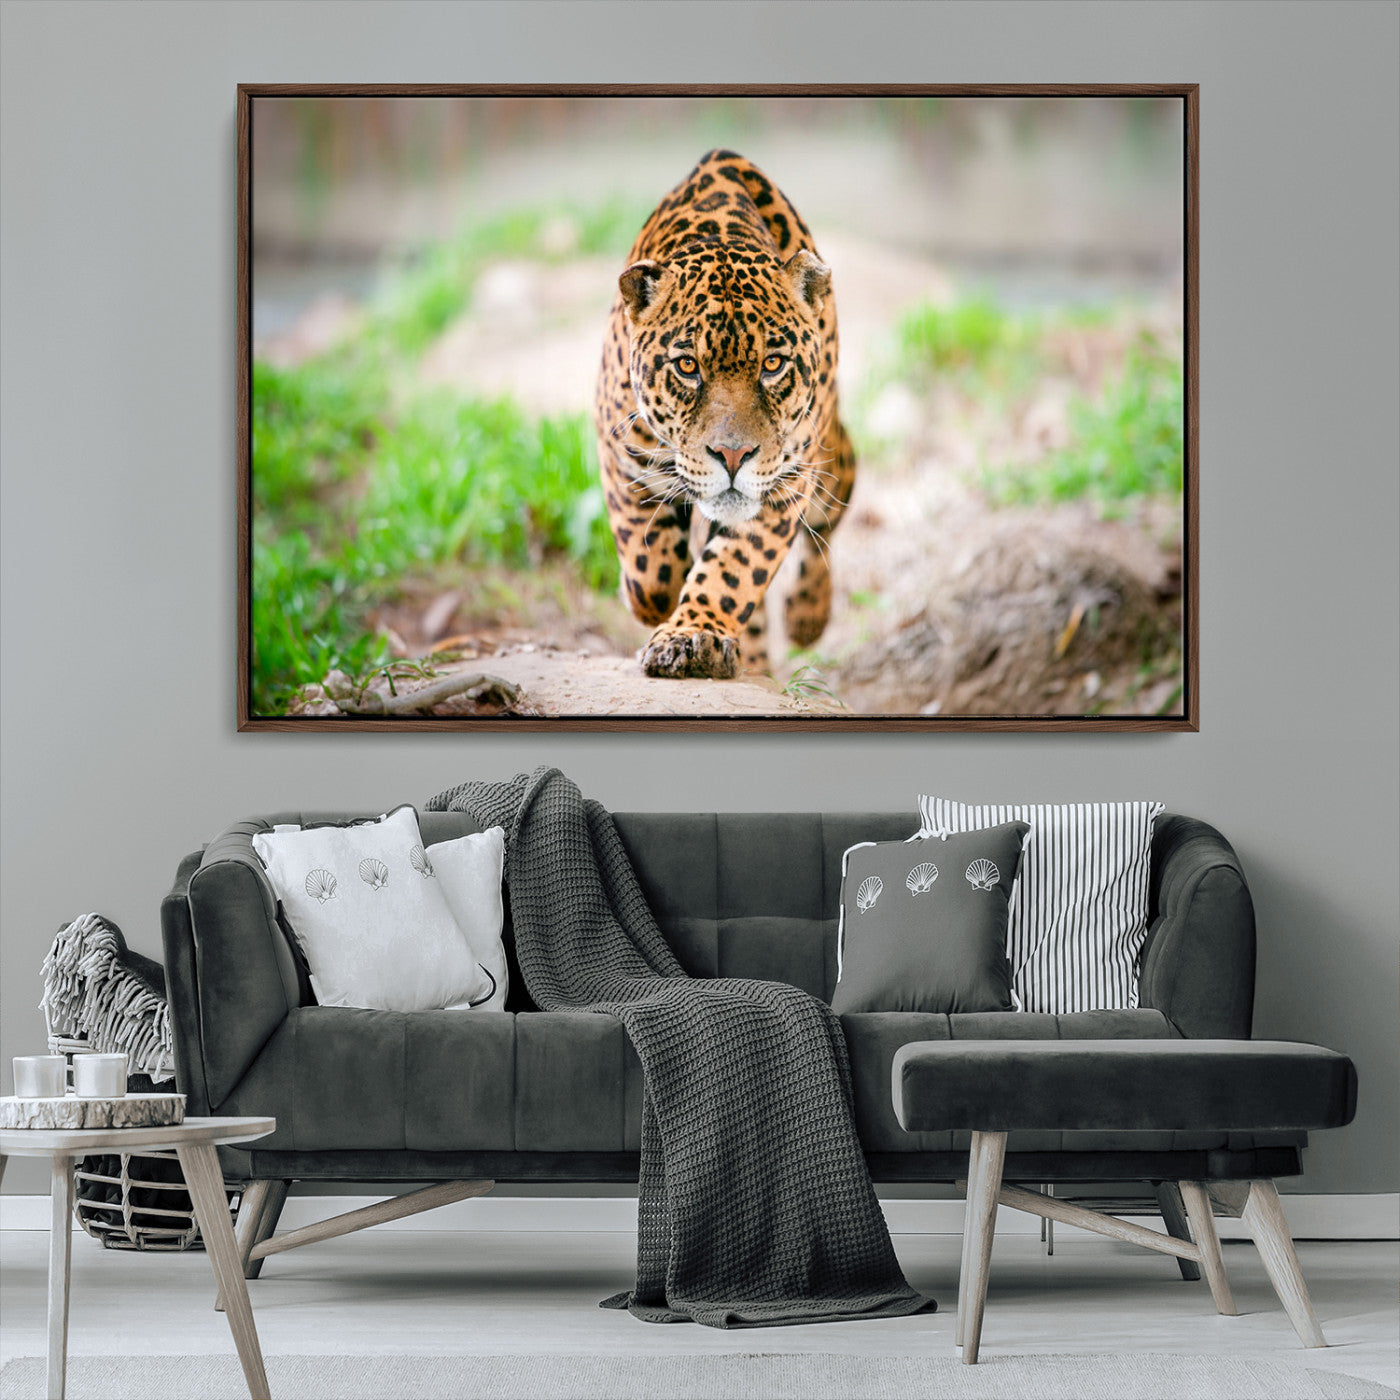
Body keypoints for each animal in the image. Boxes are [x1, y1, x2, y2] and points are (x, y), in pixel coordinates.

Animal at [593, 149, 856, 680]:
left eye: (773, 365)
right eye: (687, 366)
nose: (733, 456)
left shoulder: (784, 484)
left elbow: (733, 570)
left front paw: (693, 635)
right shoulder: (619, 451)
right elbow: (649, 569)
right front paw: (653, 602)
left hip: (829, 461)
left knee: (831, 512)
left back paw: (806, 617)